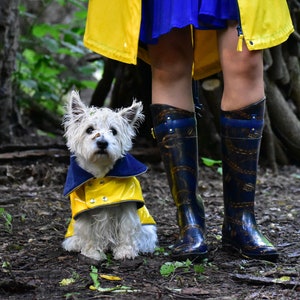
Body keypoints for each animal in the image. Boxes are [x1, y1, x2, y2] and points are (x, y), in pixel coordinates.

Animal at [62, 90, 158, 262]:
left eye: (114, 131)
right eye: (89, 130)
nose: (102, 142)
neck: (101, 174)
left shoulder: (127, 207)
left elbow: (126, 230)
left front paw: (125, 252)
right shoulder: (83, 212)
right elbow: (88, 232)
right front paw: (92, 252)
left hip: (148, 230)